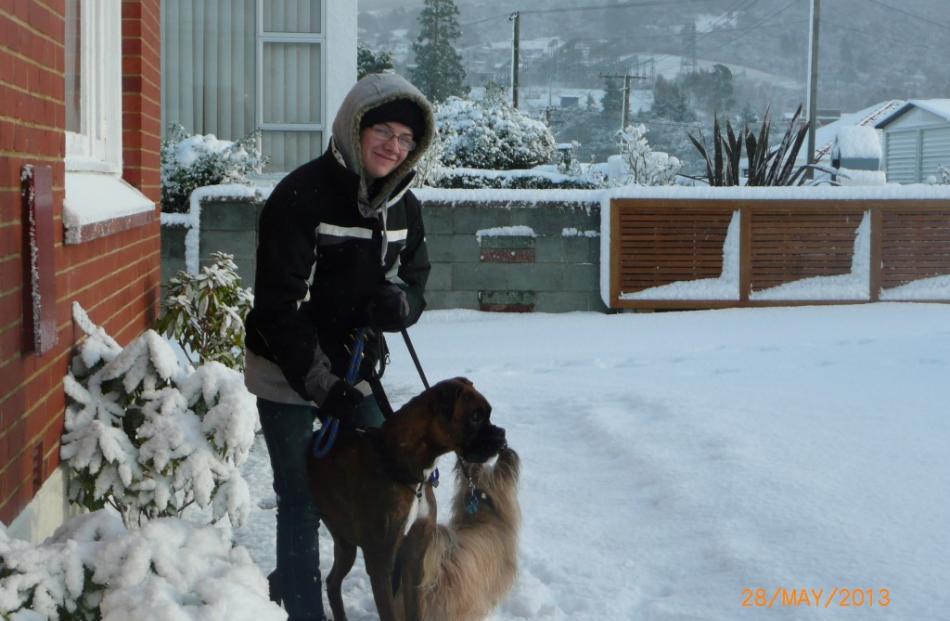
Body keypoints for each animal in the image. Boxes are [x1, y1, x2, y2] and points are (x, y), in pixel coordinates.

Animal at [310, 376, 506, 616]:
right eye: (475, 417)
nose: (502, 434)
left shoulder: (415, 557)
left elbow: (414, 609)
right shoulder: (381, 564)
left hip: (345, 543)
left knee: (331, 581)